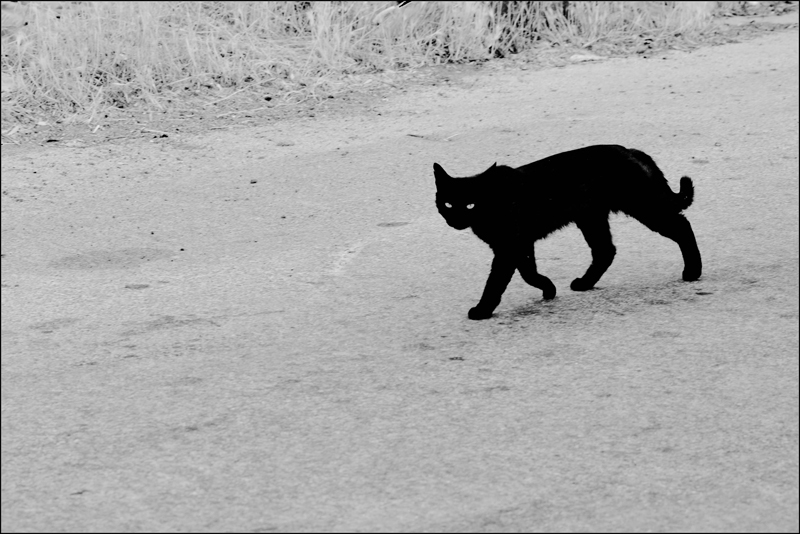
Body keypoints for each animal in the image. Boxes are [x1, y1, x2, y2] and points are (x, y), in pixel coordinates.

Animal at [433, 144, 702, 320]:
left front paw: (482, 310)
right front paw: (548, 289)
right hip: (591, 218)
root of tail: (630, 150)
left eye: (470, 204)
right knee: (606, 250)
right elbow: (528, 272)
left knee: (682, 226)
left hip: (643, 207)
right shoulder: (520, 245)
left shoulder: (509, 247)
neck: (493, 203)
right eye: (447, 203)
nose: (456, 219)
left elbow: (496, 281)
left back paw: (692, 272)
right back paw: (584, 283)